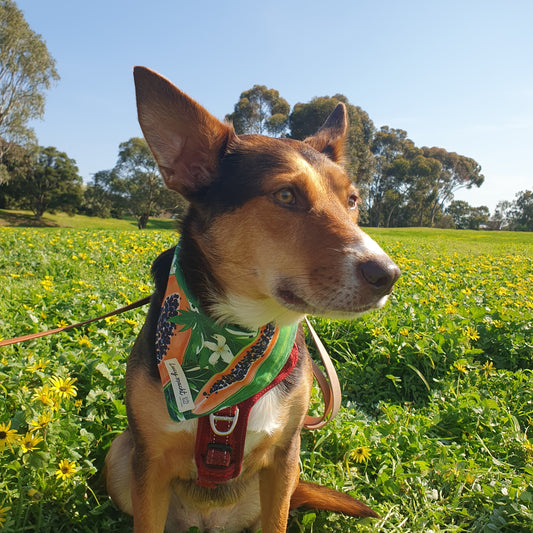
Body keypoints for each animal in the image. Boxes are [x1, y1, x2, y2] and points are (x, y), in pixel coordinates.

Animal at [105, 67, 400, 532]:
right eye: (286, 196)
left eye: (352, 201)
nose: (387, 275)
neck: (239, 334)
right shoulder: (148, 462)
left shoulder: (284, 458)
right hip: (120, 454)